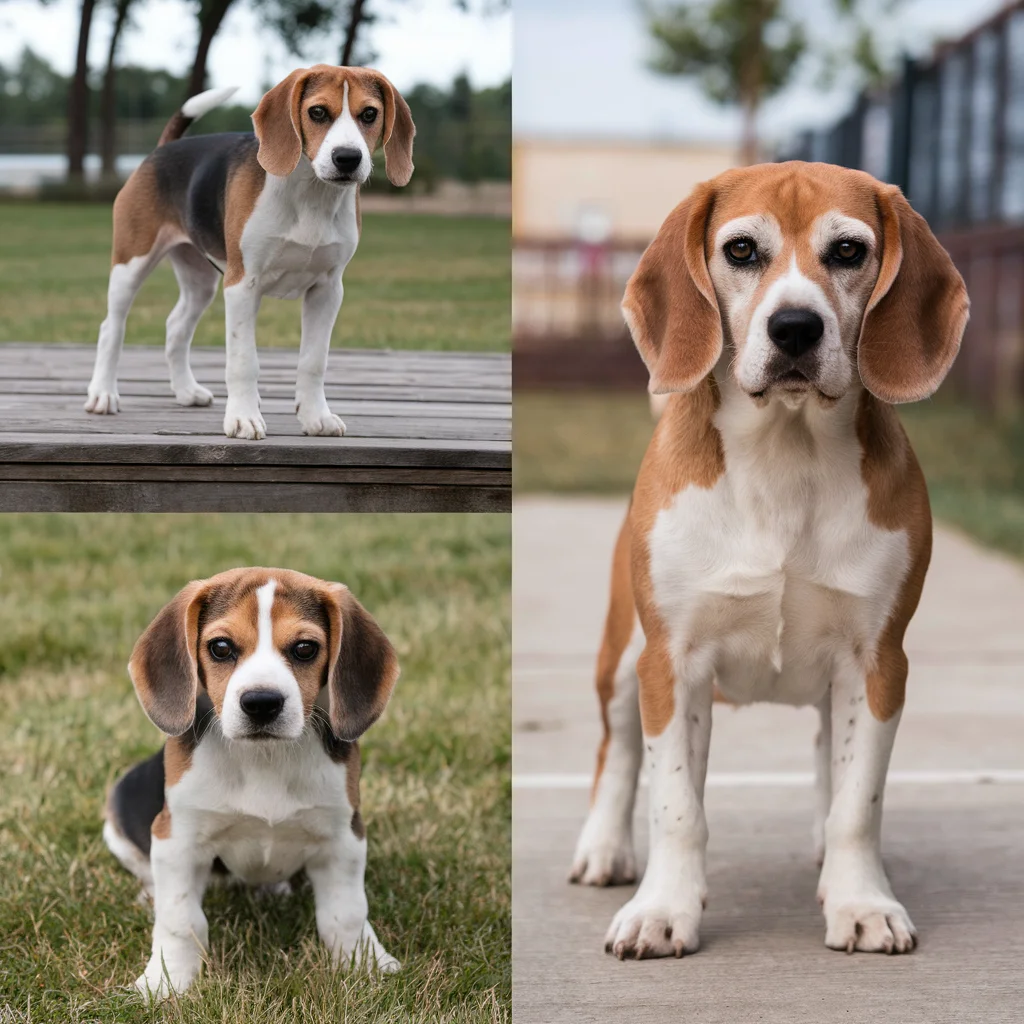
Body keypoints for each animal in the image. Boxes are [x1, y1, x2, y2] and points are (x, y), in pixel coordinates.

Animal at [82, 64, 411, 440]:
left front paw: (316, 417)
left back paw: (186, 391)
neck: (311, 194)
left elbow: (313, 360)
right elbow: (243, 361)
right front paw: (243, 418)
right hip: (131, 264)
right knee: (111, 328)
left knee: (175, 327)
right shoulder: (242, 285)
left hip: (200, 281)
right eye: (317, 112)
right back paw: (103, 394)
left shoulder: (328, 290)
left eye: (370, 114)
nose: (347, 158)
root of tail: (165, 149)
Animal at [102, 565, 399, 995]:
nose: (261, 703)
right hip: (118, 818)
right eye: (221, 648)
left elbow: (346, 913)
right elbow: (180, 921)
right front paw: (167, 981)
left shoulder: (343, 835)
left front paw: (365, 964)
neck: (264, 755)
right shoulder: (177, 837)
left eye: (305, 649)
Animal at [573, 159, 970, 958]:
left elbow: (858, 800)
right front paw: (663, 909)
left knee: (827, 759)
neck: (787, 456)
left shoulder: (879, 662)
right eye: (741, 250)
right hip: (623, 658)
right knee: (617, 753)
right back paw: (604, 848)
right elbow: (676, 805)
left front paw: (860, 901)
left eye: (848, 251)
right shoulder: (672, 661)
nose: (794, 327)